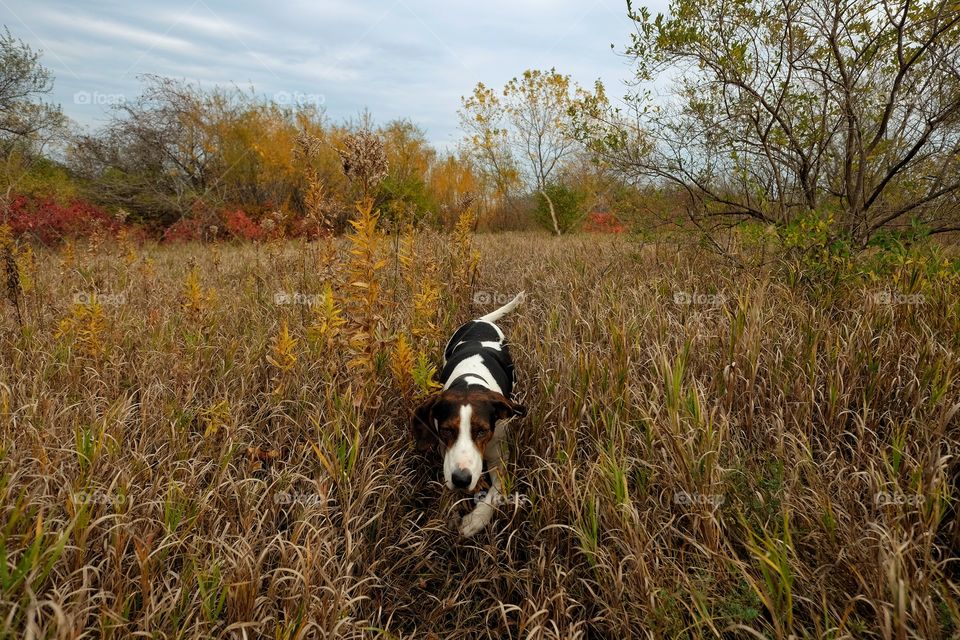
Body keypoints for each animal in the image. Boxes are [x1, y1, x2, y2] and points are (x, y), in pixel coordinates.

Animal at [410, 292, 528, 536]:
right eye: (446, 431)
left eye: (482, 431)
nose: (462, 479)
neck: (469, 383)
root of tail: (481, 321)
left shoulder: (499, 457)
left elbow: (495, 493)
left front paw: (476, 520)